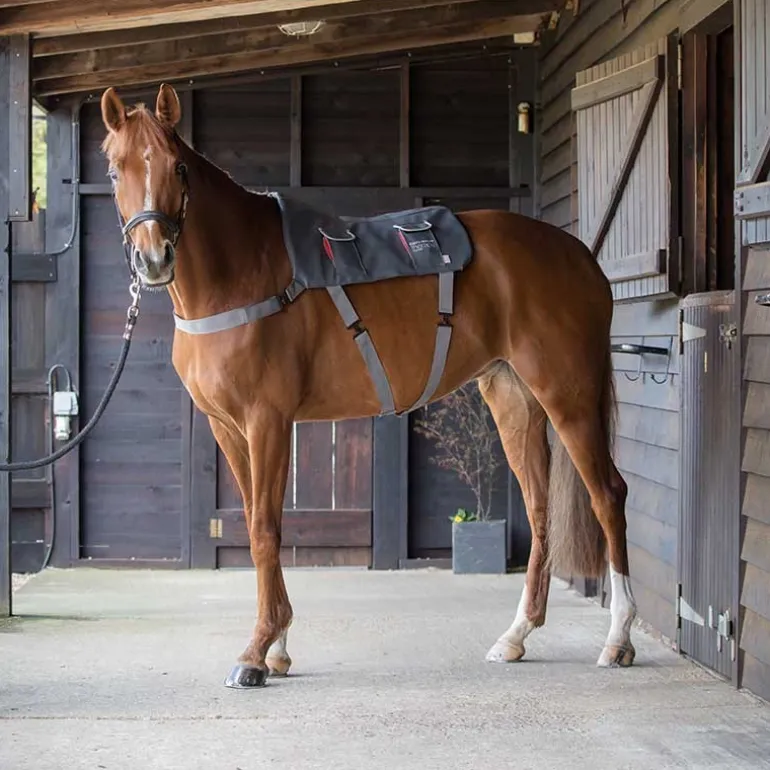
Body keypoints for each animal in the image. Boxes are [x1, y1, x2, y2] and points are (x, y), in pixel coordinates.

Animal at [99, 82, 637, 689]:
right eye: (115, 170)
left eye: (177, 167)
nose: (154, 258)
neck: (240, 274)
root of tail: (579, 256)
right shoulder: (228, 428)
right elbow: (264, 525)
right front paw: (278, 646)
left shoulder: (267, 420)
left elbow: (263, 529)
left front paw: (256, 651)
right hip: (514, 400)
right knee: (540, 508)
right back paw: (516, 635)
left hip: (569, 396)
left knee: (607, 495)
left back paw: (618, 639)